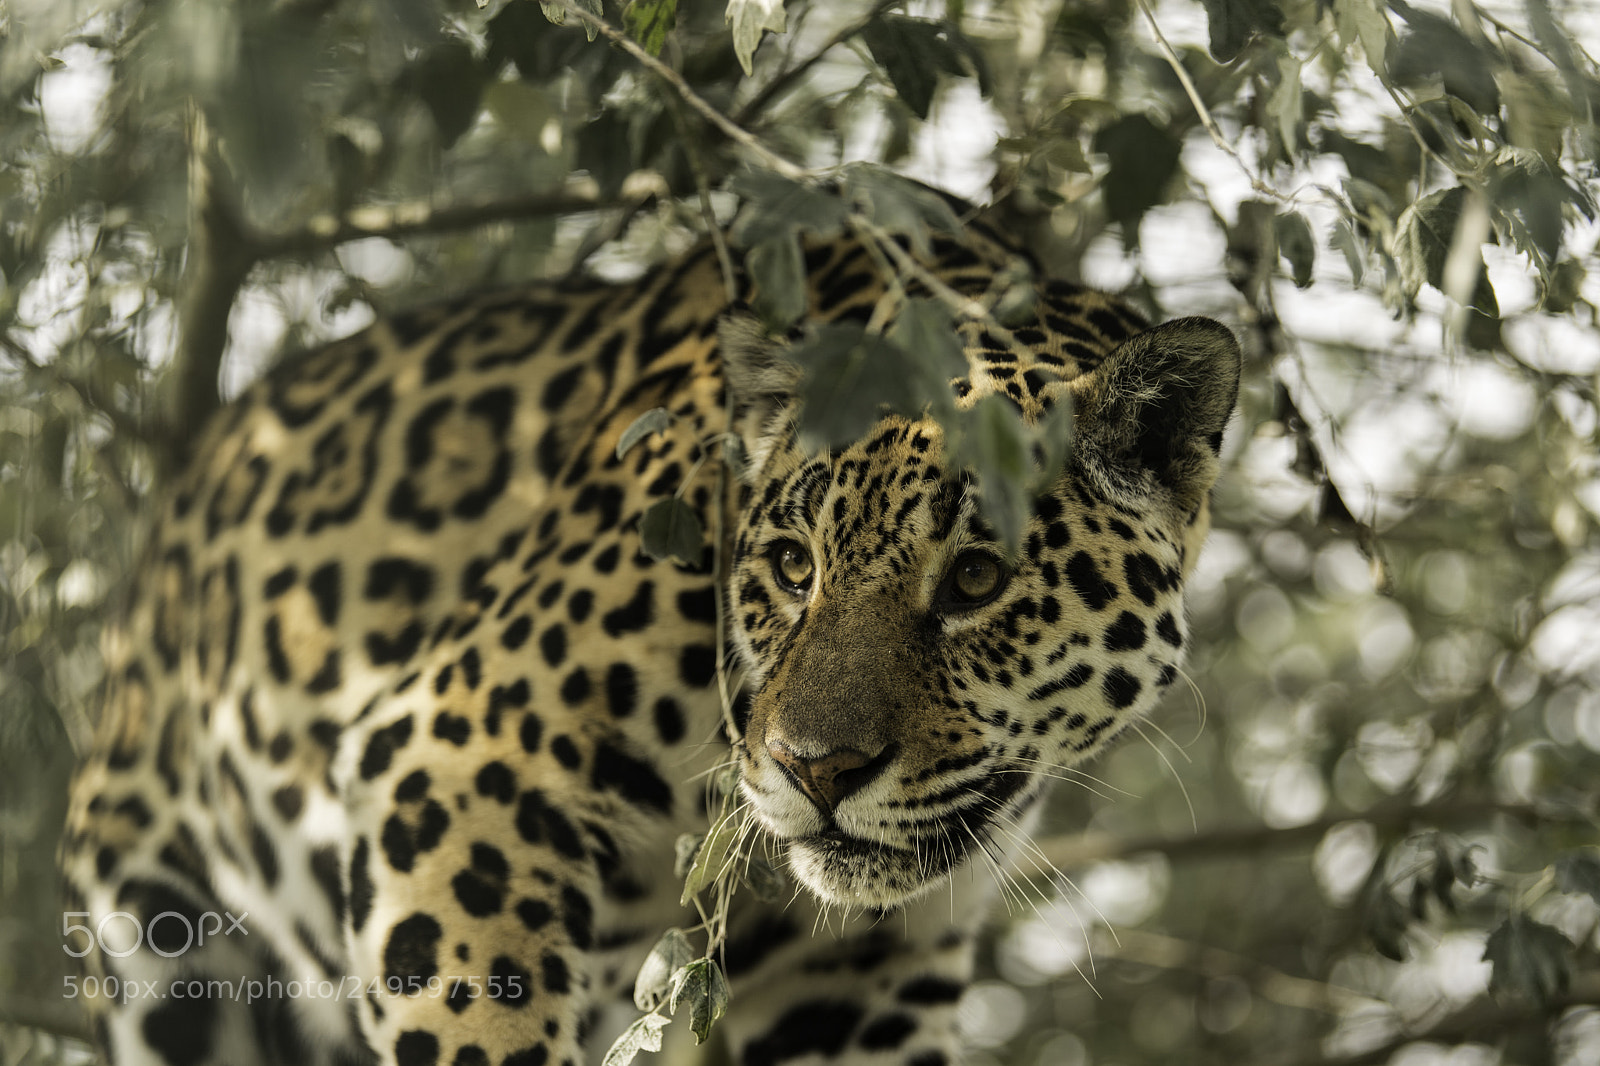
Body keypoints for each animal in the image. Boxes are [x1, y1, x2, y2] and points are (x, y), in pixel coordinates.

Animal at [59, 203, 1240, 1066]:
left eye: (977, 579)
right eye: (792, 567)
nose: (818, 771)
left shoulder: (859, 974)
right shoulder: (458, 747)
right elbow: (477, 1017)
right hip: (157, 934)